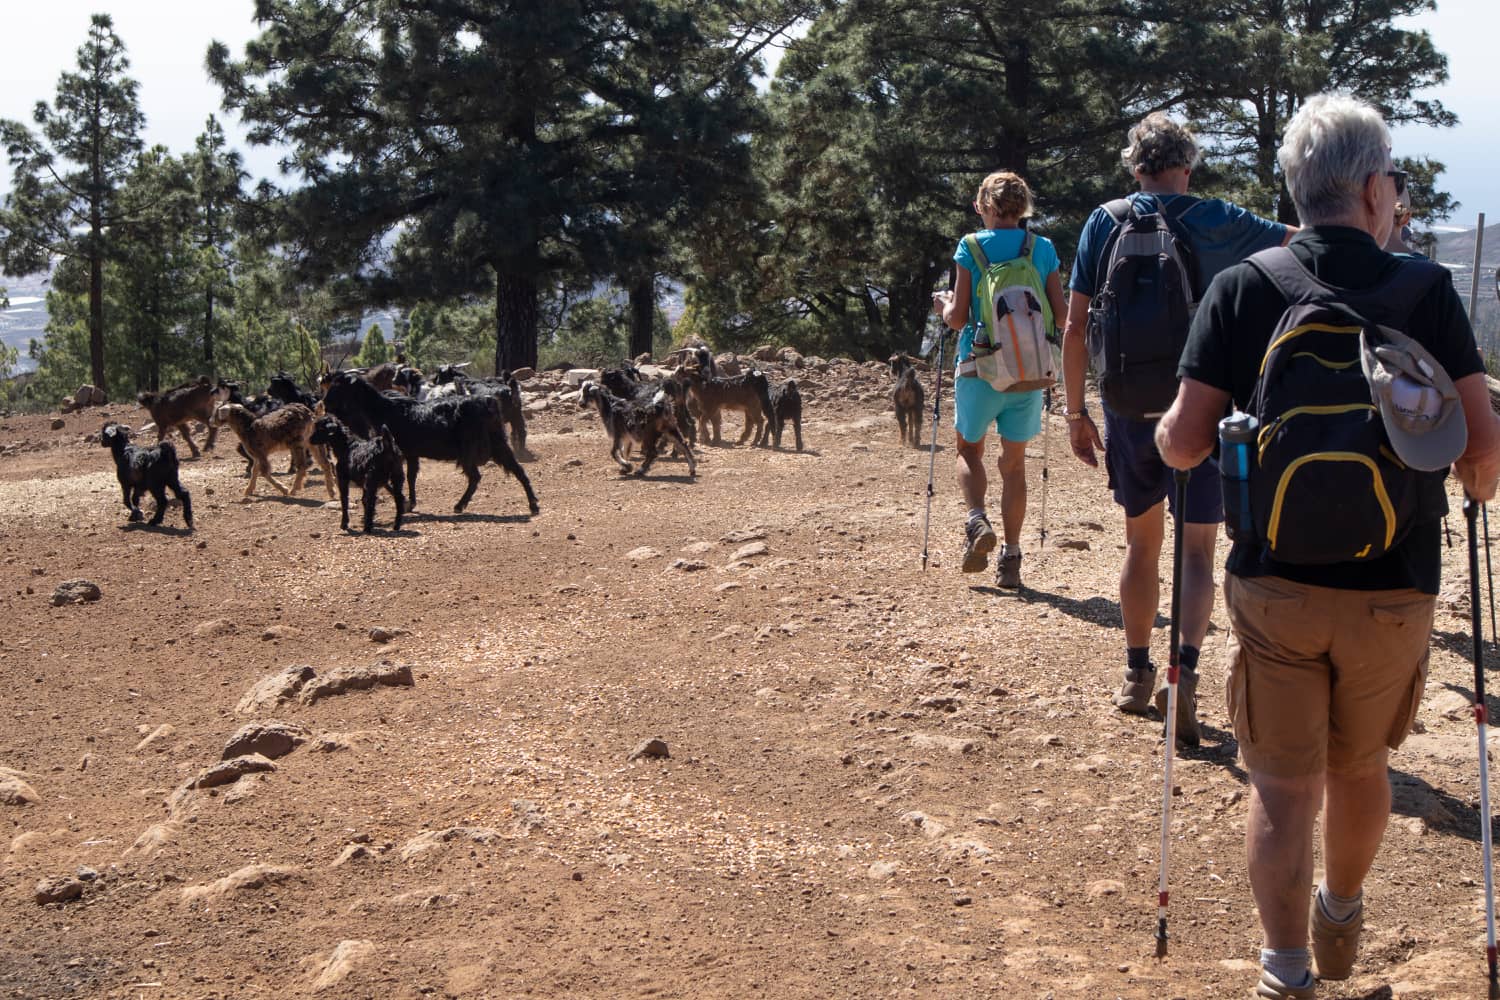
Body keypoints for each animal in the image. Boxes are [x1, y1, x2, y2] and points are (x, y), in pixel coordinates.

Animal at [322, 373, 540, 521]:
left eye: (338, 386)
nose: (324, 402)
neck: (384, 410)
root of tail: (489, 403)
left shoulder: (400, 453)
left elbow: (403, 478)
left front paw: (405, 503)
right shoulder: (411, 453)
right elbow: (411, 476)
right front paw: (411, 503)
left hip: (470, 449)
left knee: (476, 477)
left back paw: (459, 505)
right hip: (498, 443)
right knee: (518, 470)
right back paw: (533, 505)